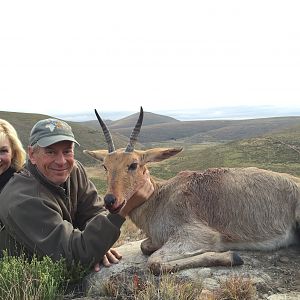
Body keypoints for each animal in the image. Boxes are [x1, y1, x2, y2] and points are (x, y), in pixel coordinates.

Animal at [83, 108, 300, 274]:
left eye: (133, 164)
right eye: (105, 166)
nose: (110, 200)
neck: (161, 197)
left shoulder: (195, 235)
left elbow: (154, 262)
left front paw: (232, 255)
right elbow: (145, 247)